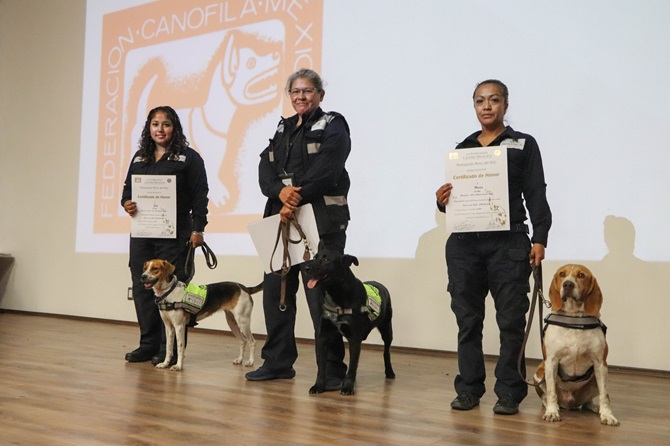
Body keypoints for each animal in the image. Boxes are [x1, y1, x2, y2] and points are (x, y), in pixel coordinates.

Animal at [306, 246, 396, 396]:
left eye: (326, 259)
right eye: (314, 257)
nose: (306, 268)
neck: (335, 294)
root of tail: (379, 284)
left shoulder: (354, 338)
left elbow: (352, 366)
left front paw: (348, 387)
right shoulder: (322, 336)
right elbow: (322, 366)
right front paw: (318, 385)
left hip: (387, 329)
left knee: (386, 352)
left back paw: (389, 371)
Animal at [532, 264, 624, 426]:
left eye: (581, 275)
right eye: (562, 274)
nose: (568, 284)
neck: (574, 317)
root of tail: (570, 403)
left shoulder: (600, 364)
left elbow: (605, 395)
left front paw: (607, 415)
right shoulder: (551, 361)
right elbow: (551, 392)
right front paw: (552, 412)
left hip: (595, 379)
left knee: (590, 401)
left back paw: (595, 407)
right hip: (539, 373)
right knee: (546, 395)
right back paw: (553, 406)